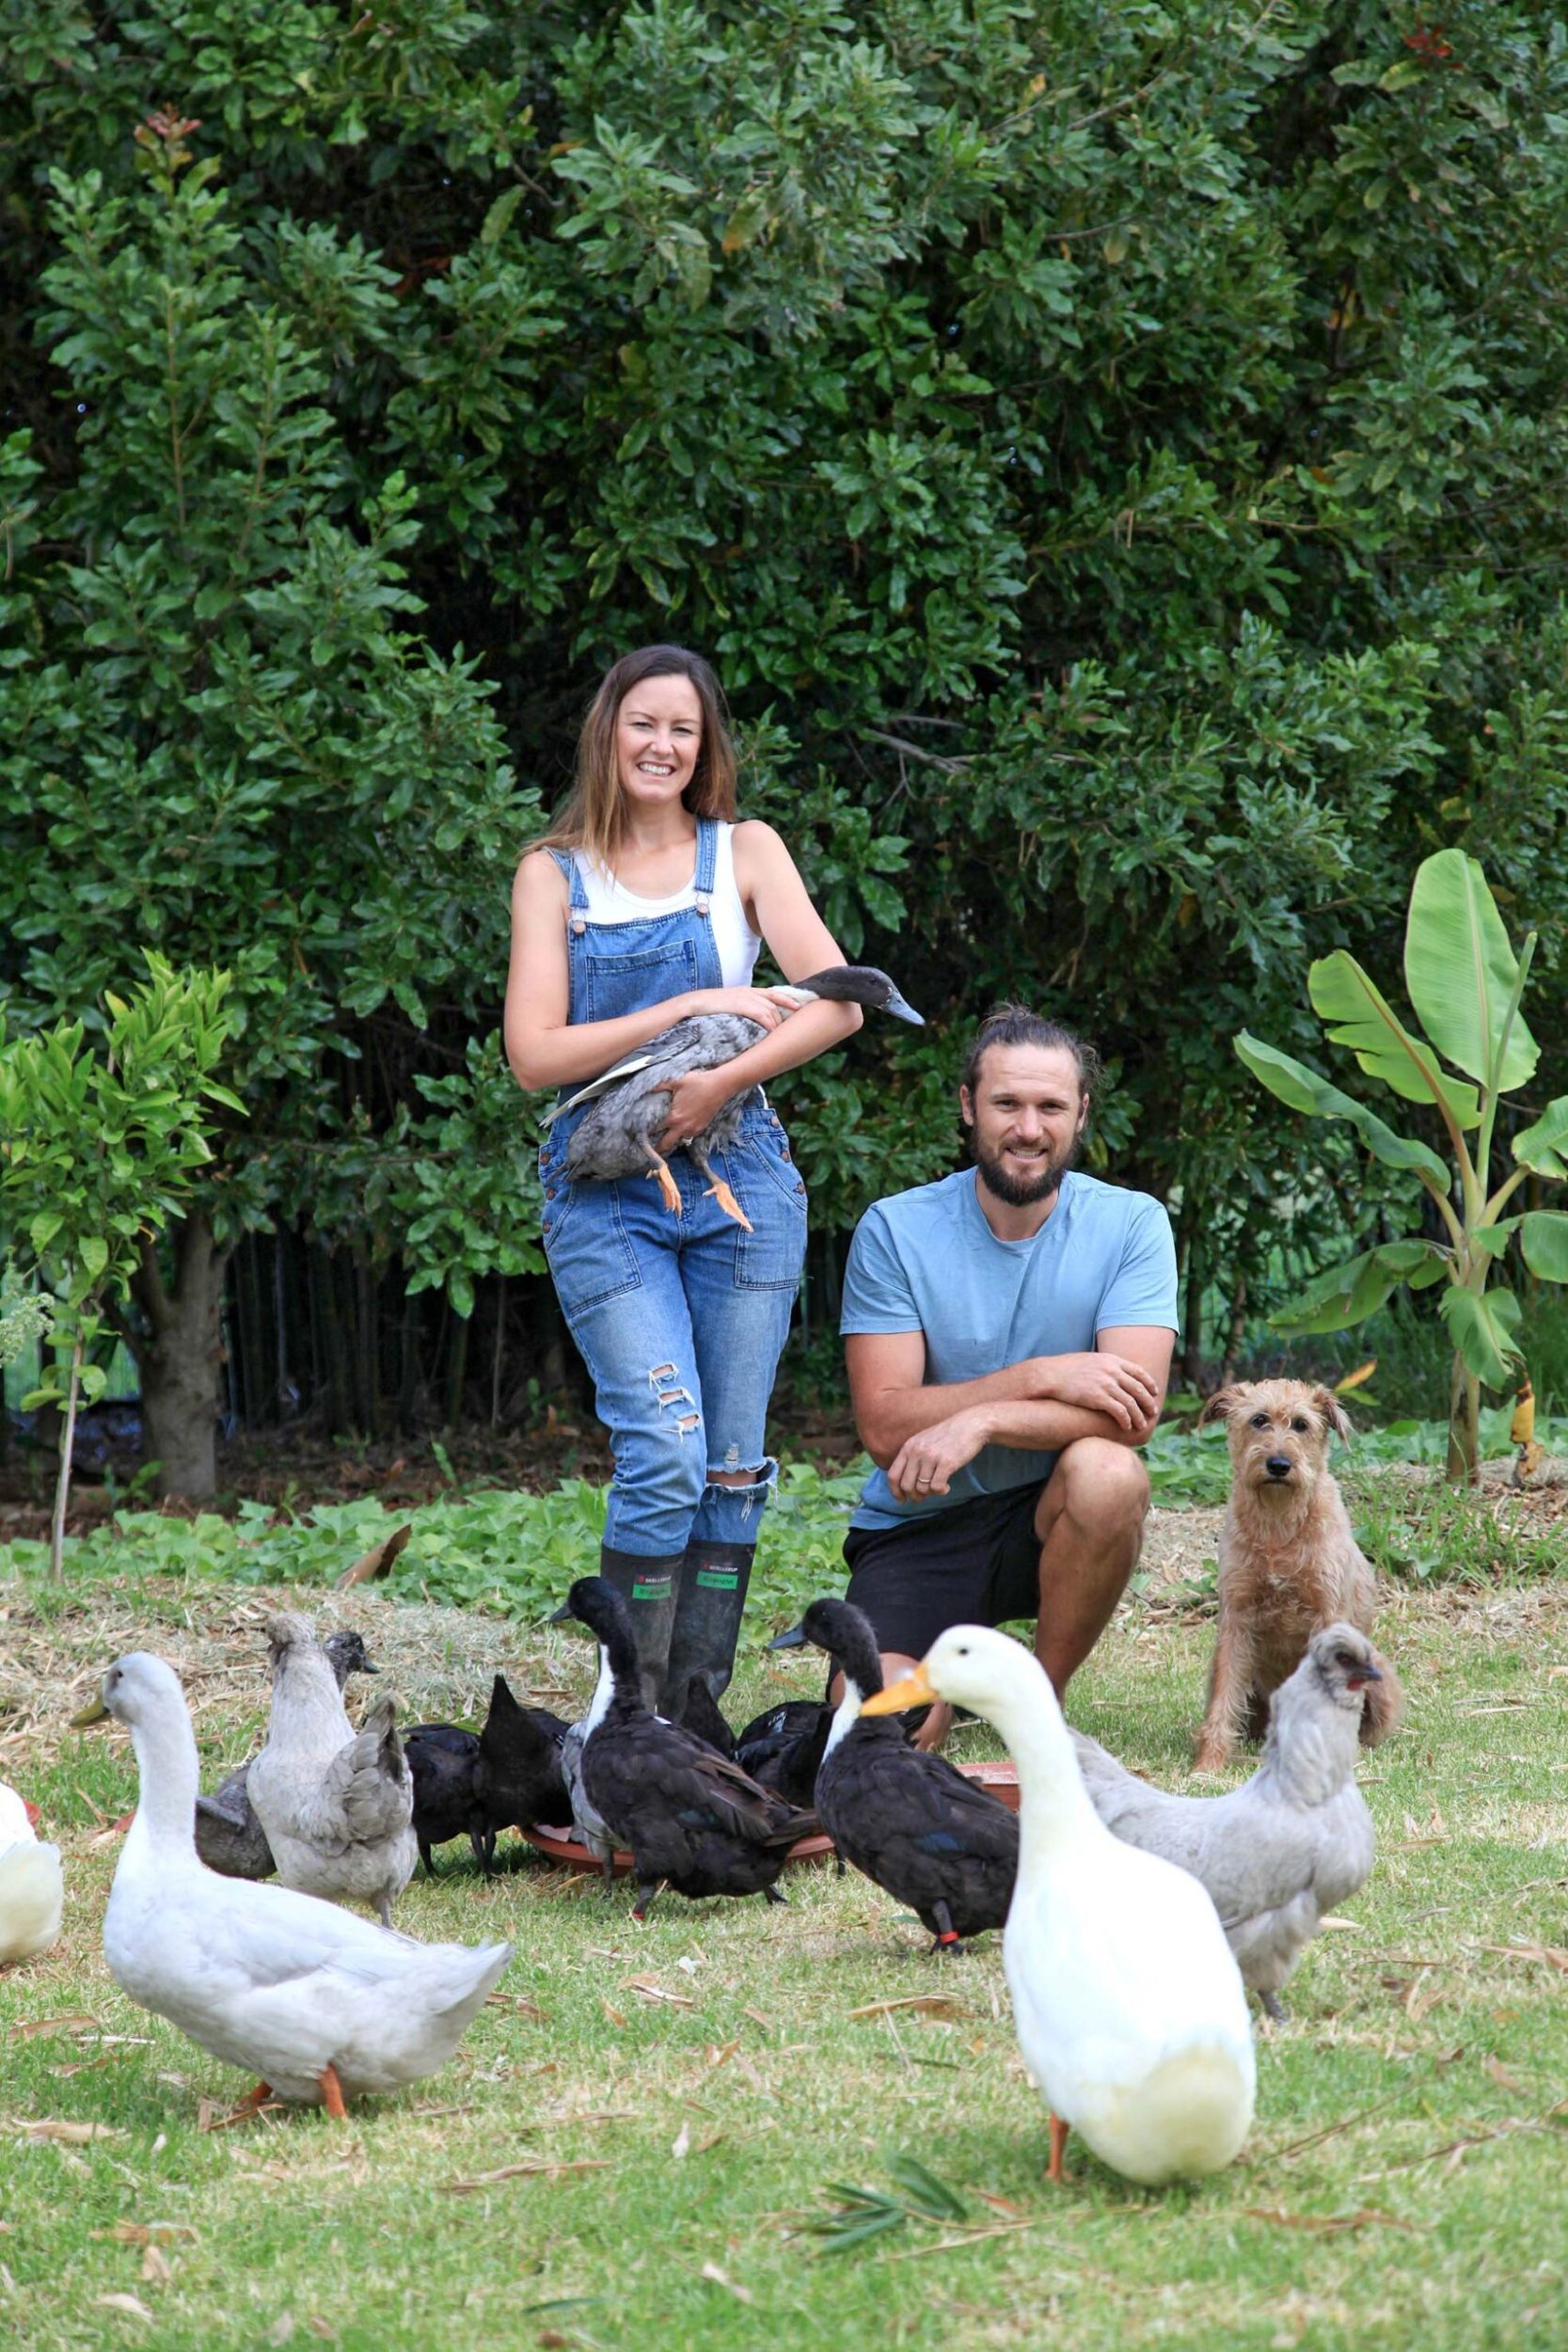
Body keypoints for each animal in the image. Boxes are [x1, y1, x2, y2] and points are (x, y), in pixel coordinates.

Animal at [1194, 1374, 1401, 1769]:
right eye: (1258, 1420)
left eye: (1302, 1424)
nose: (1278, 1464)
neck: (1279, 1525)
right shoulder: (1236, 1619)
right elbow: (1223, 1701)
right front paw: (1208, 1764)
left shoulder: (1326, 1614)